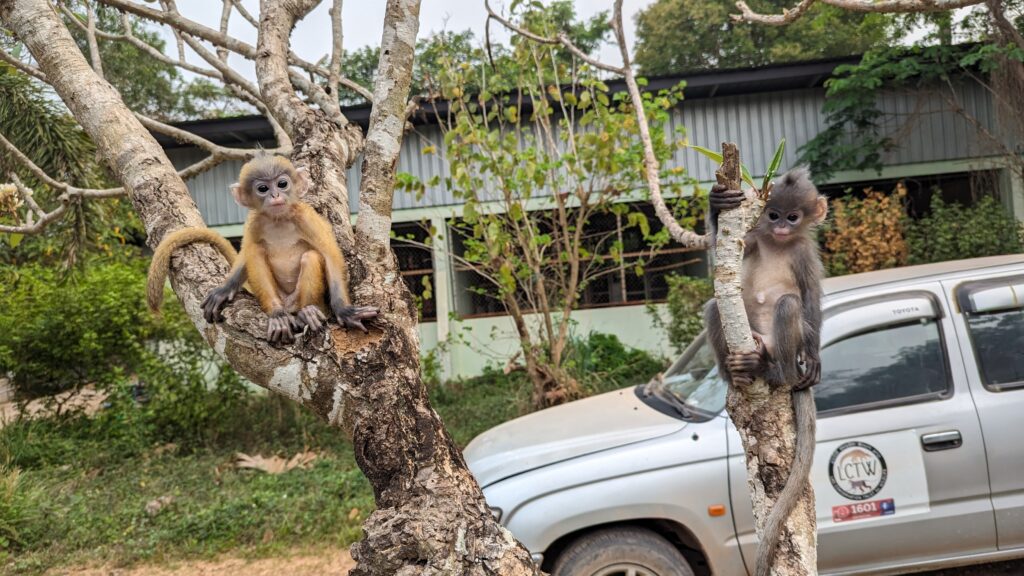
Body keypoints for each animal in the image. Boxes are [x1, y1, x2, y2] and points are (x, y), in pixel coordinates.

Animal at [148, 153, 380, 340]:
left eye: (282, 184)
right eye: (262, 188)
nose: (275, 195)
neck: (279, 221)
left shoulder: (306, 218)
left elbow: (330, 255)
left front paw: (344, 311)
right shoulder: (255, 222)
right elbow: (248, 254)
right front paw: (226, 289)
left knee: (311, 257)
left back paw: (307, 314)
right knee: (257, 252)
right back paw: (279, 315)